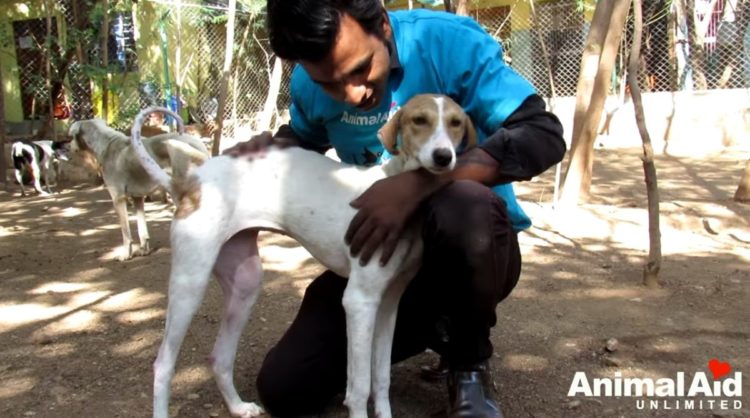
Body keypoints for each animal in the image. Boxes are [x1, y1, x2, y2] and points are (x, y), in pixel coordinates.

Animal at [67, 117, 210, 260]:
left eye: (70, 137)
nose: (69, 148)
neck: (106, 144)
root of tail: (199, 145)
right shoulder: (138, 198)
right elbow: (142, 229)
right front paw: (143, 250)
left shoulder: (118, 199)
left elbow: (126, 232)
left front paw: (126, 254)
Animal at [133, 94, 478, 418]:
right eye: (420, 120)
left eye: (456, 123)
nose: (444, 157)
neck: (395, 186)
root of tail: (190, 181)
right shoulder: (359, 302)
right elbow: (359, 388)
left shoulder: (389, 302)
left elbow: (381, 379)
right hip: (189, 284)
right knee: (163, 365)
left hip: (245, 284)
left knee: (219, 357)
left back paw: (238, 407)